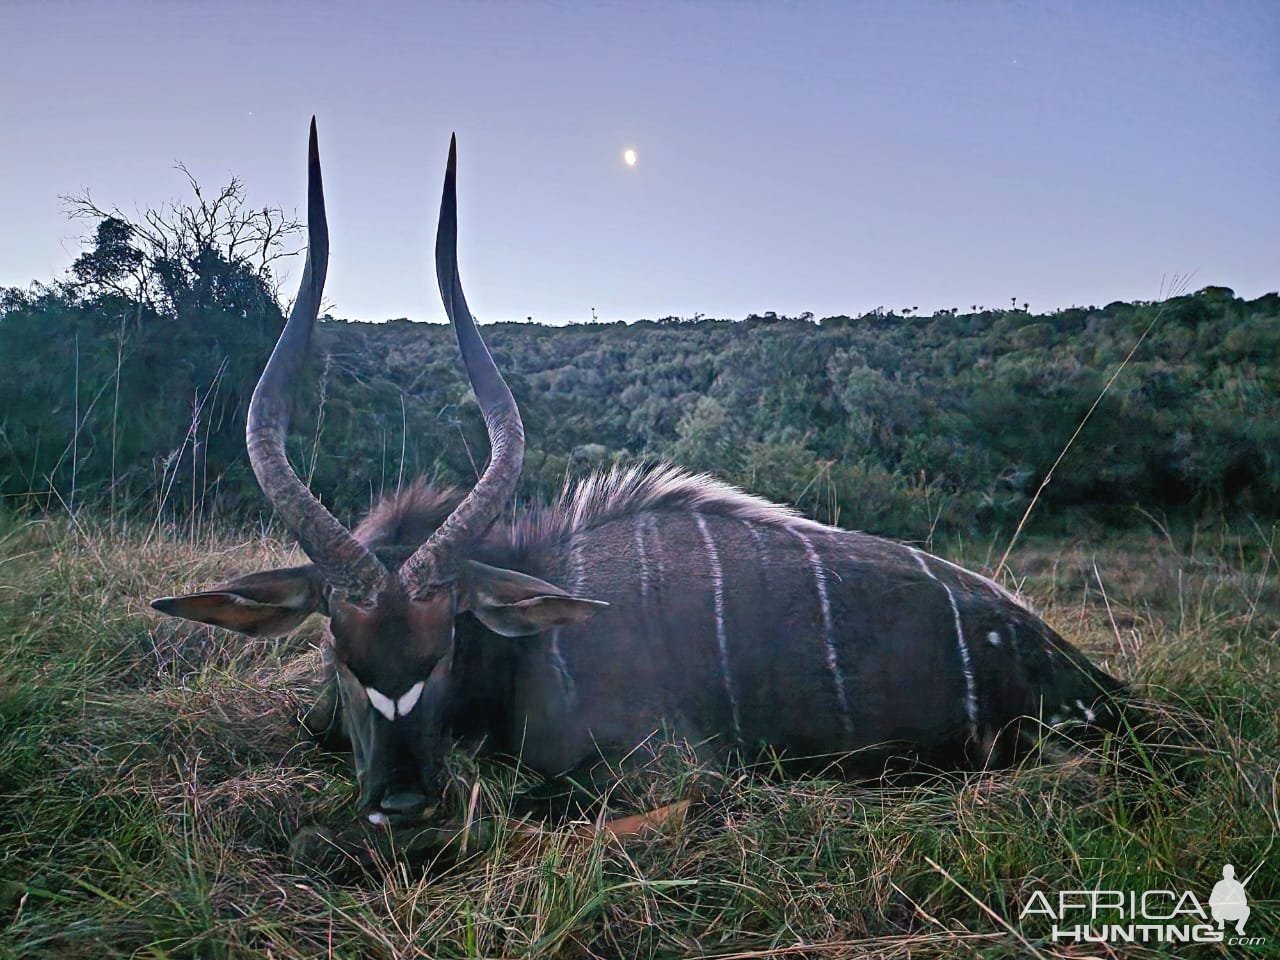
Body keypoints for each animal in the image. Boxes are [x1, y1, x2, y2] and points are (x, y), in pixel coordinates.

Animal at [154, 120, 1126, 829]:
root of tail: (1093, 679)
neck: (533, 640)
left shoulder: (672, 774)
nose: (402, 802)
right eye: (336, 647)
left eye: (449, 643)